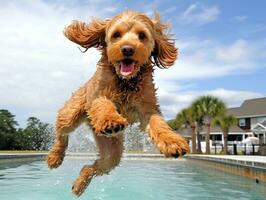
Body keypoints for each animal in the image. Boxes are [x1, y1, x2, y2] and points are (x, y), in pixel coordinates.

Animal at [47, 10, 189, 196]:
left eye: (141, 35)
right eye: (116, 35)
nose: (127, 49)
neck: (125, 82)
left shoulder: (147, 107)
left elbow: (158, 124)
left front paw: (172, 141)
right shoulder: (98, 96)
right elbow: (104, 104)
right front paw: (110, 120)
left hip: (112, 151)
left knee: (94, 166)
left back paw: (79, 184)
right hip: (71, 113)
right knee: (62, 134)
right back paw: (55, 156)